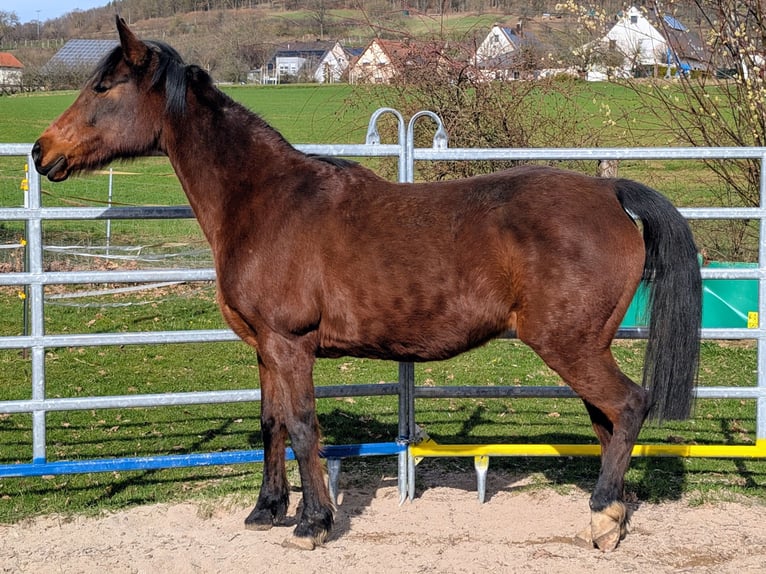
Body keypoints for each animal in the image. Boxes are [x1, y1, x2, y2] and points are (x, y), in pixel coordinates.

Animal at [33, 17, 701, 552]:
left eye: (103, 87)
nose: (41, 152)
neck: (265, 201)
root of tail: (608, 191)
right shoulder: (263, 349)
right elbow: (272, 424)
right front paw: (266, 510)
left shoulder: (290, 345)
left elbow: (305, 428)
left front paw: (313, 524)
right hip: (585, 346)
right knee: (608, 422)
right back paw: (610, 515)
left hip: (569, 344)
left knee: (628, 405)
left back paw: (603, 518)